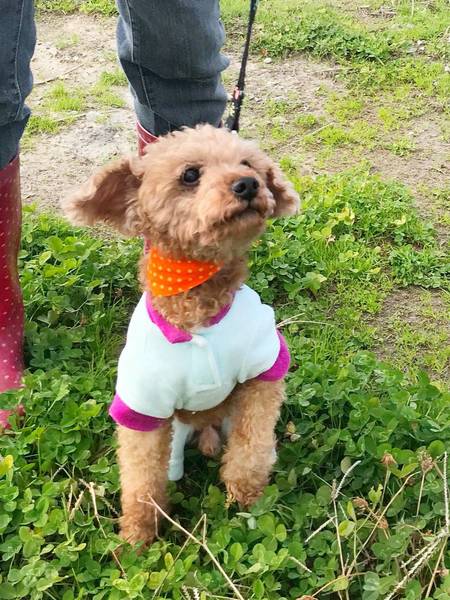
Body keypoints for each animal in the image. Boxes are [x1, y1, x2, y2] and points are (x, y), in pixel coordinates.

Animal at [63, 125, 299, 546]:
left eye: (248, 163)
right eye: (190, 175)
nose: (248, 184)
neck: (197, 304)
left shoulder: (262, 370)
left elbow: (253, 445)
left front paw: (247, 496)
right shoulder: (143, 405)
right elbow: (141, 479)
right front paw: (138, 537)